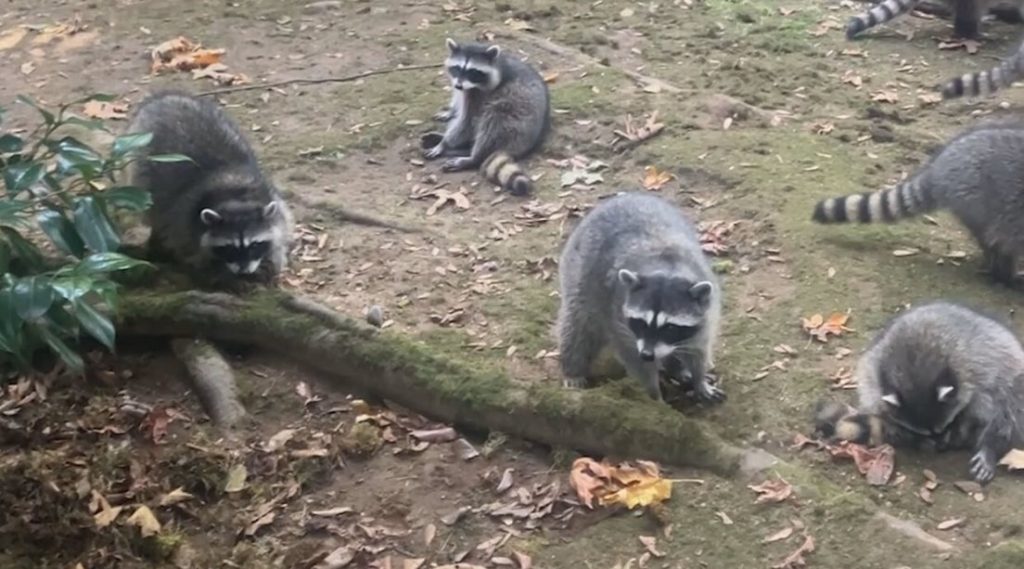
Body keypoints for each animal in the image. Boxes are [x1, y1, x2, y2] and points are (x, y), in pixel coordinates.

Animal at [126, 90, 293, 280]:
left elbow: (280, 231)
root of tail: (162, 97)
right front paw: (213, 272)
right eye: (229, 248)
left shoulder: (273, 199)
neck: (237, 196)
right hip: (140, 162)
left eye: (255, 245)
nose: (243, 270)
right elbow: (190, 251)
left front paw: (272, 258)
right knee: (154, 210)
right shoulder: (183, 221)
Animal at [420, 38, 550, 197]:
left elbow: (467, 121)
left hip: (516, 120)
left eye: (472, 72)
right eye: (457, 68)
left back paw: (472, 157)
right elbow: (459, 105)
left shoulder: (480, 95)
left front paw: (444, 143)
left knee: (492, 123)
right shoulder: (464, 89)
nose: (458, 86)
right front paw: (450, 112)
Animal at [556, 192, 724, 403]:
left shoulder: (708, 309)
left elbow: (698, 347)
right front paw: (654, 396)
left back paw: (677, 368)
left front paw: (698, 378)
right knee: (578, 326)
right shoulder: (619, 318)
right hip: (576, 272)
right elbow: (635, 360)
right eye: (641, 322)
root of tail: (625, 195)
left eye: (670, 328)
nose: (648, 354)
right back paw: (573, 369)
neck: (667, 268)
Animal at [814, 302, 1024, 484]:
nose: (941, 445)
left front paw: (991, 442)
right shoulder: (875, 376)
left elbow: (1005, 408)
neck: (916, 367)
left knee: (1009, 402)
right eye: (925, 432)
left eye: (945, 426)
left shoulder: (981, 364)